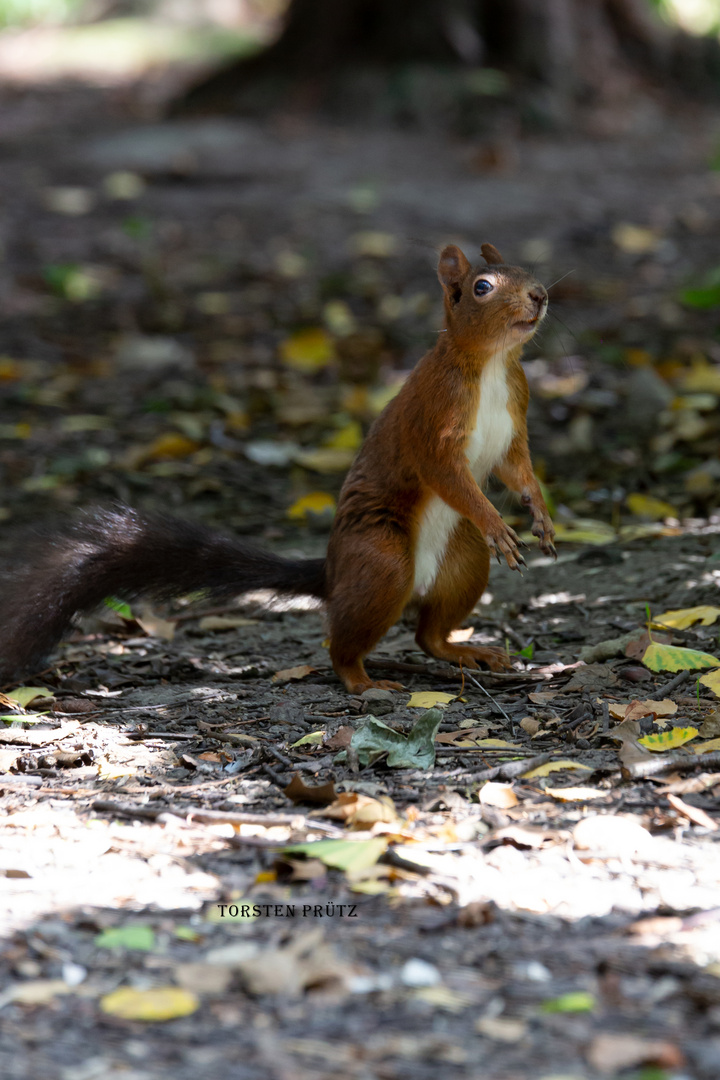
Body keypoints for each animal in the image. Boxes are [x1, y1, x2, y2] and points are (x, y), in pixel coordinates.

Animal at [0, 241, 557, 695]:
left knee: (428, 634)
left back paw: (467, 650)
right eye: (483, 287)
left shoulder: (515, 419)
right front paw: (496, 523)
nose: (539, 294)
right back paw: (362, 681)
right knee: (344, 643)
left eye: (525, 269)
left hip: (464, 563)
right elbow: (447, 475)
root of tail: (333, 570)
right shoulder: (433, 421)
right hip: (381, 561)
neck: (490, 364)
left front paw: (541, 516)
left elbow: (518, 470)